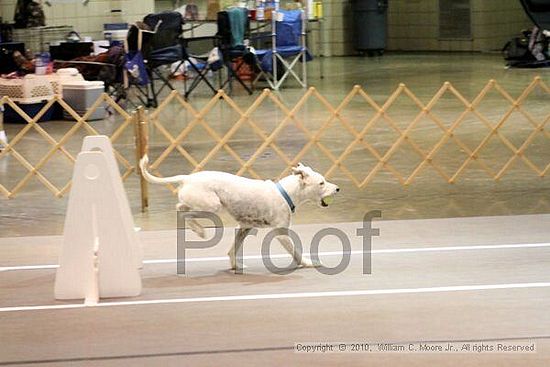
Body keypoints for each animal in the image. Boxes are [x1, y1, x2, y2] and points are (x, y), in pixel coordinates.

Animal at [140, 155, 338, 270]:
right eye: (321, 183)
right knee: (183, 212)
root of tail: (187, 178)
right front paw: (309, 263)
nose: (338, 189)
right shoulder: (282, 234)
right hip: (211, 206)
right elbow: (296, 252)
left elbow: (233, 249)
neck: (286, 193)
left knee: (180, 207)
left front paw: (236, 266)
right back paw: (200, 231)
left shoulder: (244, 228)